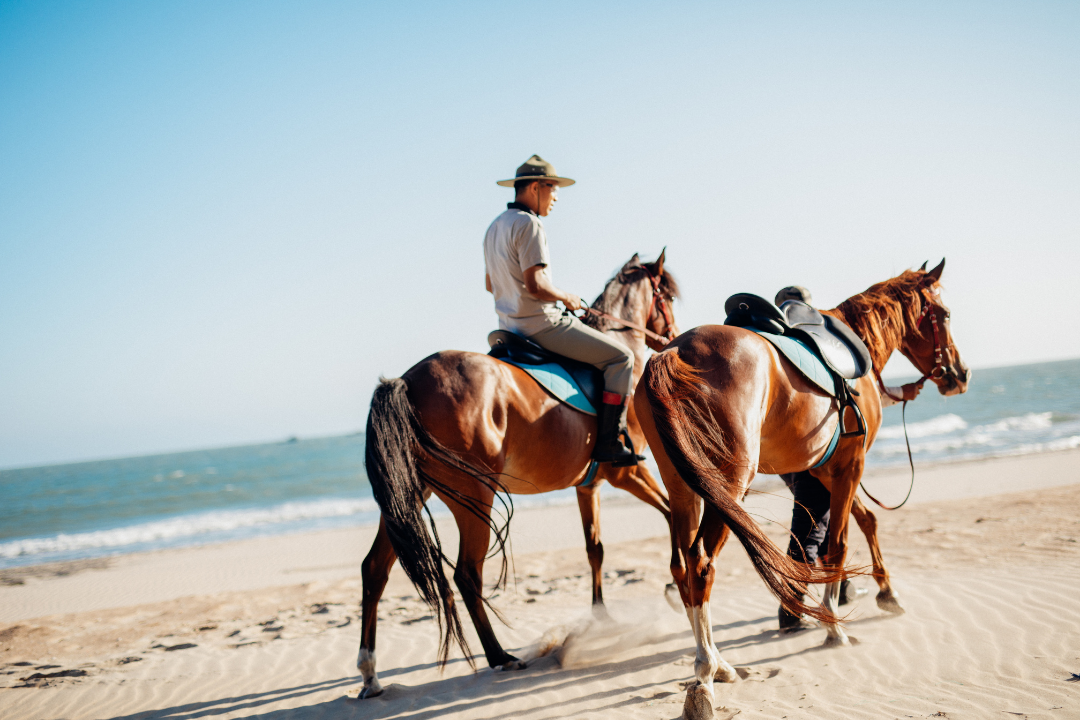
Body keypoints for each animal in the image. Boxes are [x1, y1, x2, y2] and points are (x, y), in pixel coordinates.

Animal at [357, 252, 680, 699]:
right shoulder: (626, 472)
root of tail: (407, 380)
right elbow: (669, 514)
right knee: (467, 573)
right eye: (668, 296)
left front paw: (600, 618)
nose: (673, 336)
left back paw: (370, 674)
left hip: (410, 498)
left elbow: (594, 549)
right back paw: (500, 657)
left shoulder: (588, 486)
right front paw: (673, 589)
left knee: (374, 569)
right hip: (473, 495)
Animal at [634, 259, 969, 712]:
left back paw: (719, 662)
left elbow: (863, 522)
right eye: (945, 315)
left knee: (682, 565)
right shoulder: (849, 466)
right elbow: (838, 544)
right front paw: (835, 626)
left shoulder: (823, 472)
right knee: (701, 565)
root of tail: (673, 352)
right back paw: (706, 672)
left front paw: (885, 591)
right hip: (727, 487)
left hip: (683, 488)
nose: (960, 374)